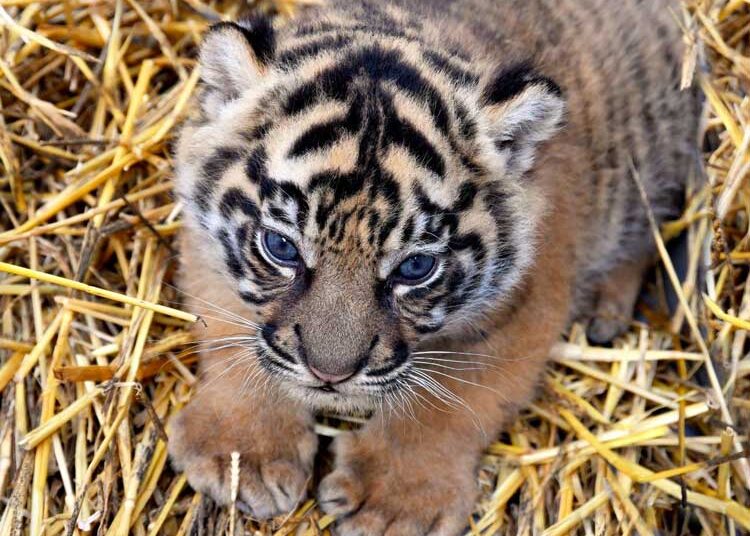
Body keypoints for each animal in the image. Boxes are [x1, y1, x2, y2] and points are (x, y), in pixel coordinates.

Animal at [167, 0, 702, 533]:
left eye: (416, 267)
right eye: (280, 246)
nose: (330, 375)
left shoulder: (527, 301)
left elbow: (448, 398)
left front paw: (392, 503)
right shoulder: (203, 241)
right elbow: (233, 334)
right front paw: (243, 452)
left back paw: (605, 314)